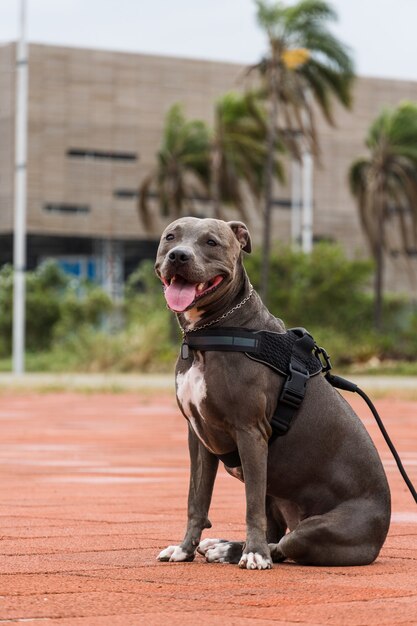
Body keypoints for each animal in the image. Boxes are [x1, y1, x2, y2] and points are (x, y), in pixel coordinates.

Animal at [153, 217, 390, 568]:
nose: (179, 256)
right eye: (171, 237)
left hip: (323, 527)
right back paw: (224, 547)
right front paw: (183, 549)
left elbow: (250, 506)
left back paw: (245, 551)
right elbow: (196, 500)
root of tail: (381, 532)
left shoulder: (250, 431)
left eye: (211, 242)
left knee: (284, 542)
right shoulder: (198, 436)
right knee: (275, 531)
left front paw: (254, 555)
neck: (212, 331)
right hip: (276, 493)